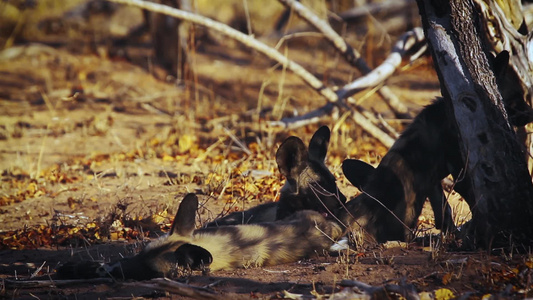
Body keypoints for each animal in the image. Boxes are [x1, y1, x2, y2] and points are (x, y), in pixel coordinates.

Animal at [336, 50, 532, 243]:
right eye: (517, 99)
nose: (530, 114)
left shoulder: (434, 181)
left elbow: (444, 213)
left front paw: (452, 234)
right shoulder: (458, 169)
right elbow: (470, 202)